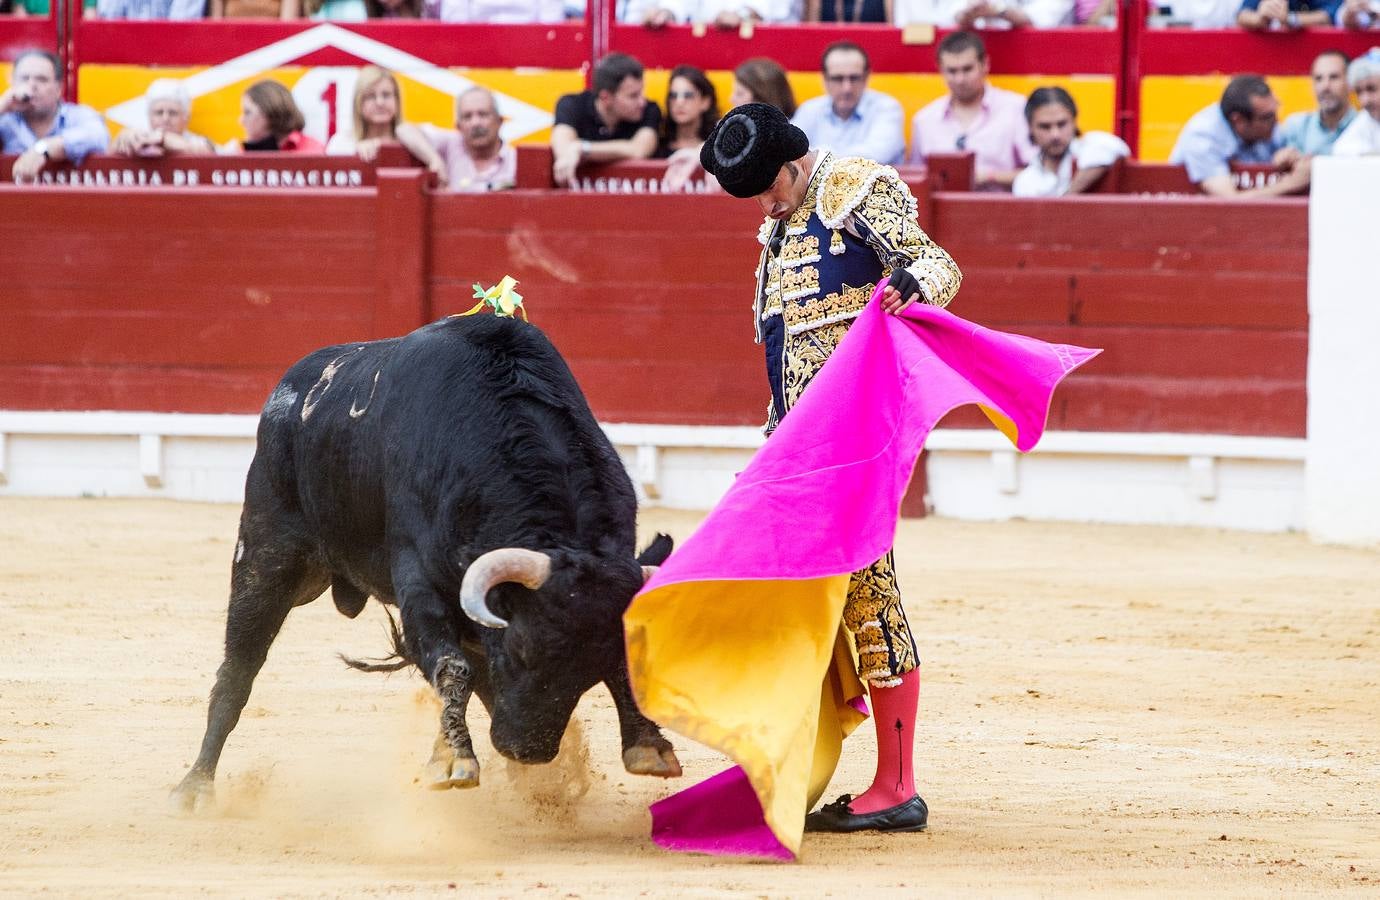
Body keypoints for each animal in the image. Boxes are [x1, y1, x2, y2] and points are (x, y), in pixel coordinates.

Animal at [172, 316, 684, 817]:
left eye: (590, 669)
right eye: (521, 650)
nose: (527, 750)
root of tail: (291, 385)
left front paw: (649, 749)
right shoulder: (419, 583)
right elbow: (451, 665)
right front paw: (453, 762)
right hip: (266, 553)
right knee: (239, 668)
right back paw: (195, 788)